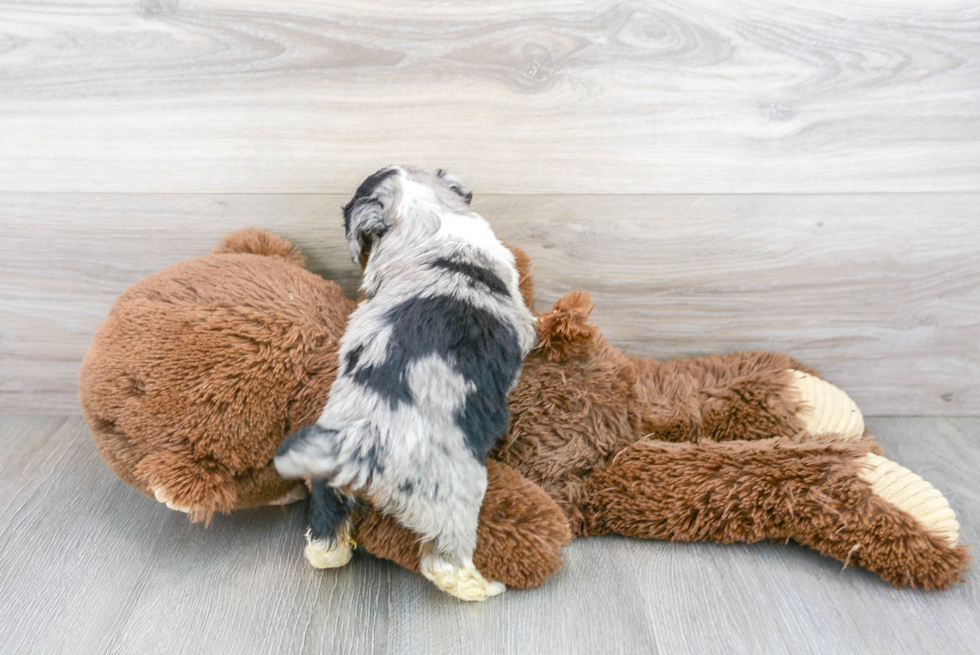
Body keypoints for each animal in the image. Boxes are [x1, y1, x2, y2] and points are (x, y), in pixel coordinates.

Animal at [274, 167, 536, 604]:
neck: (431, 218)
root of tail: (360, 445)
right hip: (455, 499)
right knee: (442, 564)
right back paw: (484, 587)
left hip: (327, 490)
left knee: (325, 542)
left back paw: (334, 550)